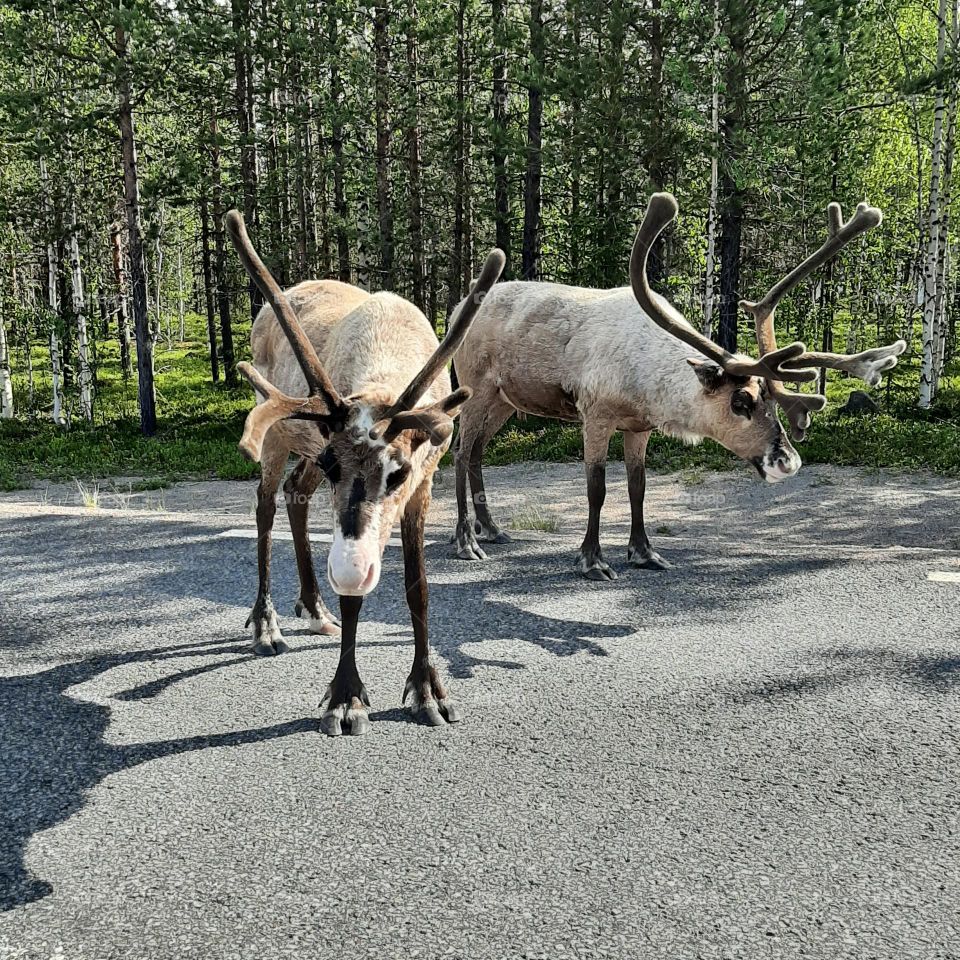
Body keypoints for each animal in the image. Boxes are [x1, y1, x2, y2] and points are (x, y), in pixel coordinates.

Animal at [224, 210, 505, 734]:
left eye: (398, 473)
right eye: (336, 466)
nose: (349, 570)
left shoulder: (425, 482)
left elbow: (419, 589)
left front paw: (428, 691)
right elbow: (354, 603)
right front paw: (346, 698)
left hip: (302, 449)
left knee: (294, 491)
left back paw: (314, 607)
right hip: (276, 433)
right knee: (265, 504)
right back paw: (267, 624)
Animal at [451, 193, 906, 580]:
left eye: (774, 402)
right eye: (741, 400)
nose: (788, 462)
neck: (649, 384)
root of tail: (458, 306)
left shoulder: (639, 426)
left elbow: (637, 488)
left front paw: (645, 553)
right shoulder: (596, 415)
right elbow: (597, 488)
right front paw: (592, 560)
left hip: (506, 400)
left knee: (477, 452)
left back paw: (492, 529)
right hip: (475, 387)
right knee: (459, 451)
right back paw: (467, 542)